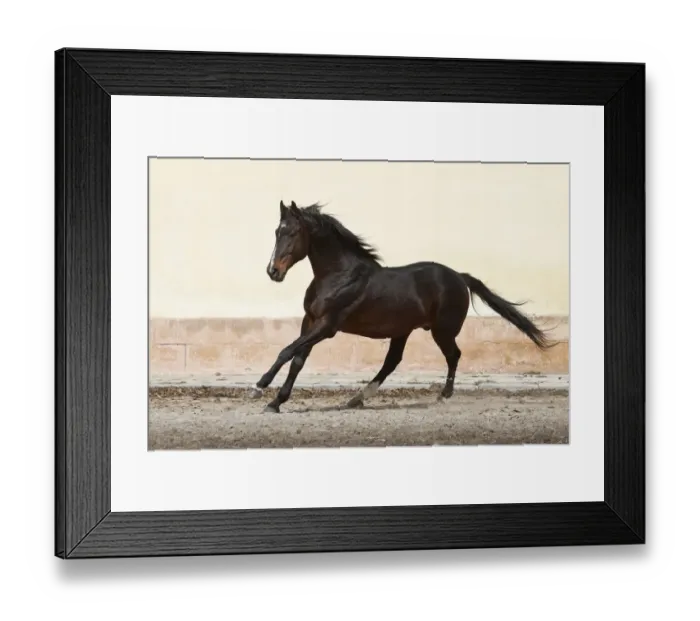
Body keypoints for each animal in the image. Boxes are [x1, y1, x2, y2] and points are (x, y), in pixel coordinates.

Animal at [250, 200, 556, 413]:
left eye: (293, 232)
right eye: (277, 232)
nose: (273, 271)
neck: (339, 275)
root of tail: (459, 276)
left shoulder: (328, 326)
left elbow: (286, 351)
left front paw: (259, 387)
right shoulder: (311, 321)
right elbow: (297, 359)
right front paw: (275, 402)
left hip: (442, 330)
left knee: (454, 355)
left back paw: (443, 395)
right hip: (403, 331)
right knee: (392, 362)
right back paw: (357, 398)